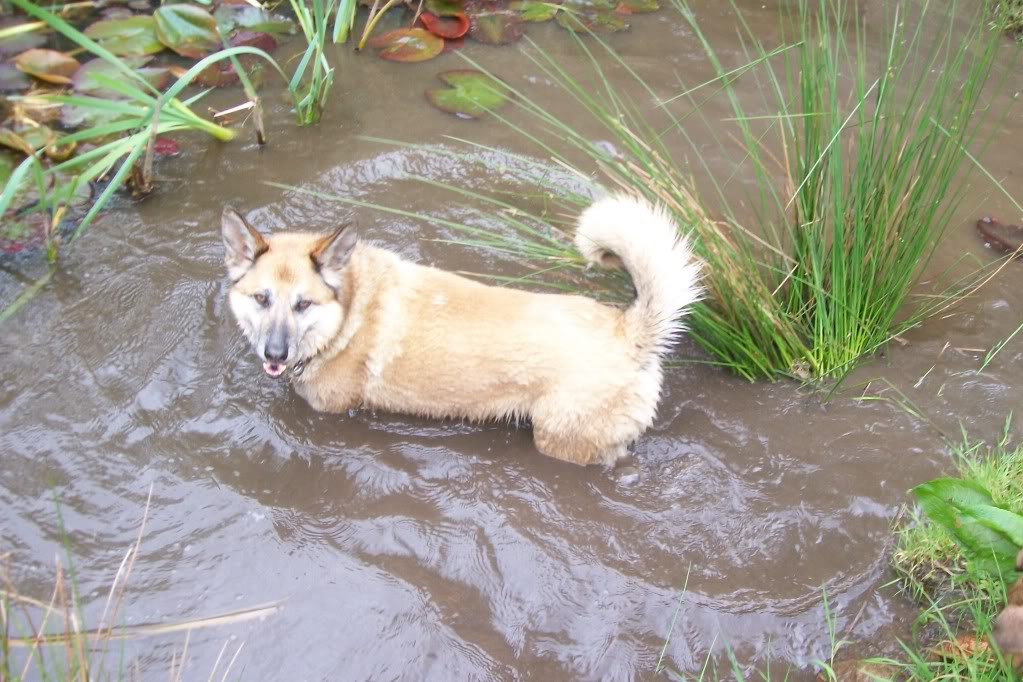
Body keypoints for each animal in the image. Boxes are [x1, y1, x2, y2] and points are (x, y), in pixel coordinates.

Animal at [224, 194, 703, 466]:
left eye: (303, 303)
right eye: (262, 298)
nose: (275, 354)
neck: (349, 312)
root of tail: (629, 331)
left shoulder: (332, 411)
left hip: (562, 442)